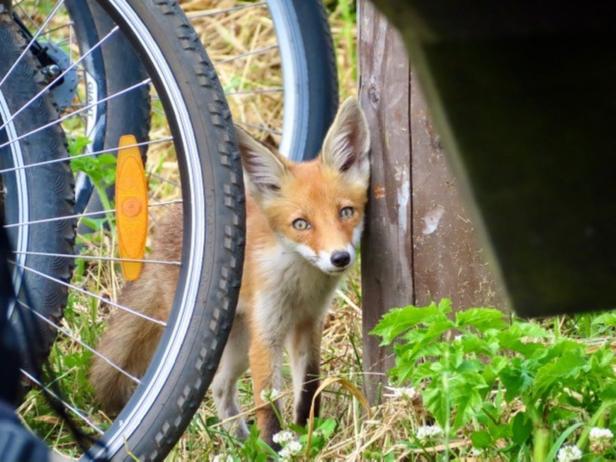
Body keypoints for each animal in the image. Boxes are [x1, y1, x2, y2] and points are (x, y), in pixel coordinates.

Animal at [90, 96, 370, 444]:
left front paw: (309, 434)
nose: (339, 258)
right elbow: (267, 403)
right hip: (232, 339)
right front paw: (275, 445)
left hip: (238, 343)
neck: (299, 284)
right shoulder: (267, 333)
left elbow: (308, 388)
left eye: (346, 212)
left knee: (221, 385)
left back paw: (240, 441)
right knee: (219, 385)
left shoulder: (308, 324)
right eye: (301, 224)